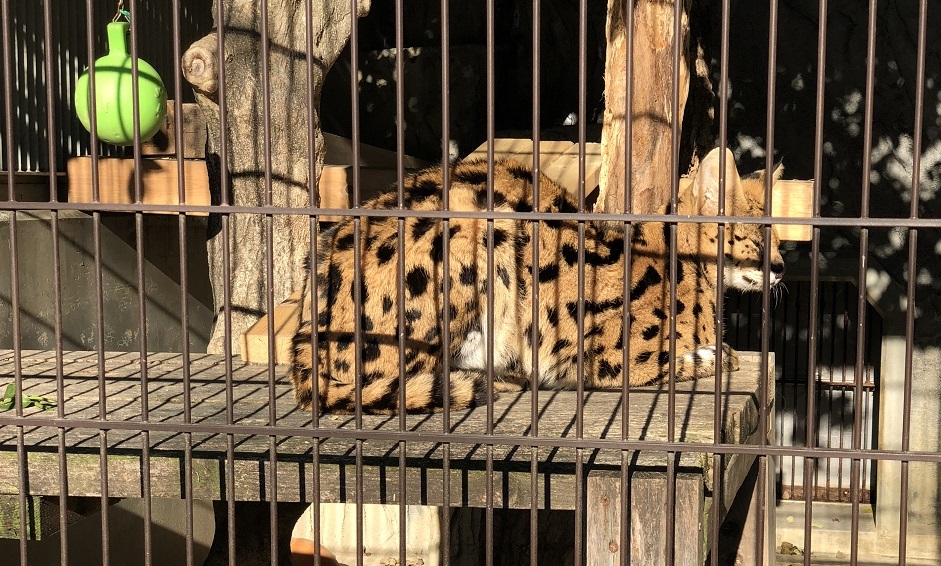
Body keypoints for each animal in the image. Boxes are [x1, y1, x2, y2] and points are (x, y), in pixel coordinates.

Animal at [288, 146, 785, 414]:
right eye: (761, 239)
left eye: (781, 239)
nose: (781, 266)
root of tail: (302, 343)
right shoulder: (601, 358)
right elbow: (690, 359)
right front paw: (713, 355)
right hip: (476, 233)